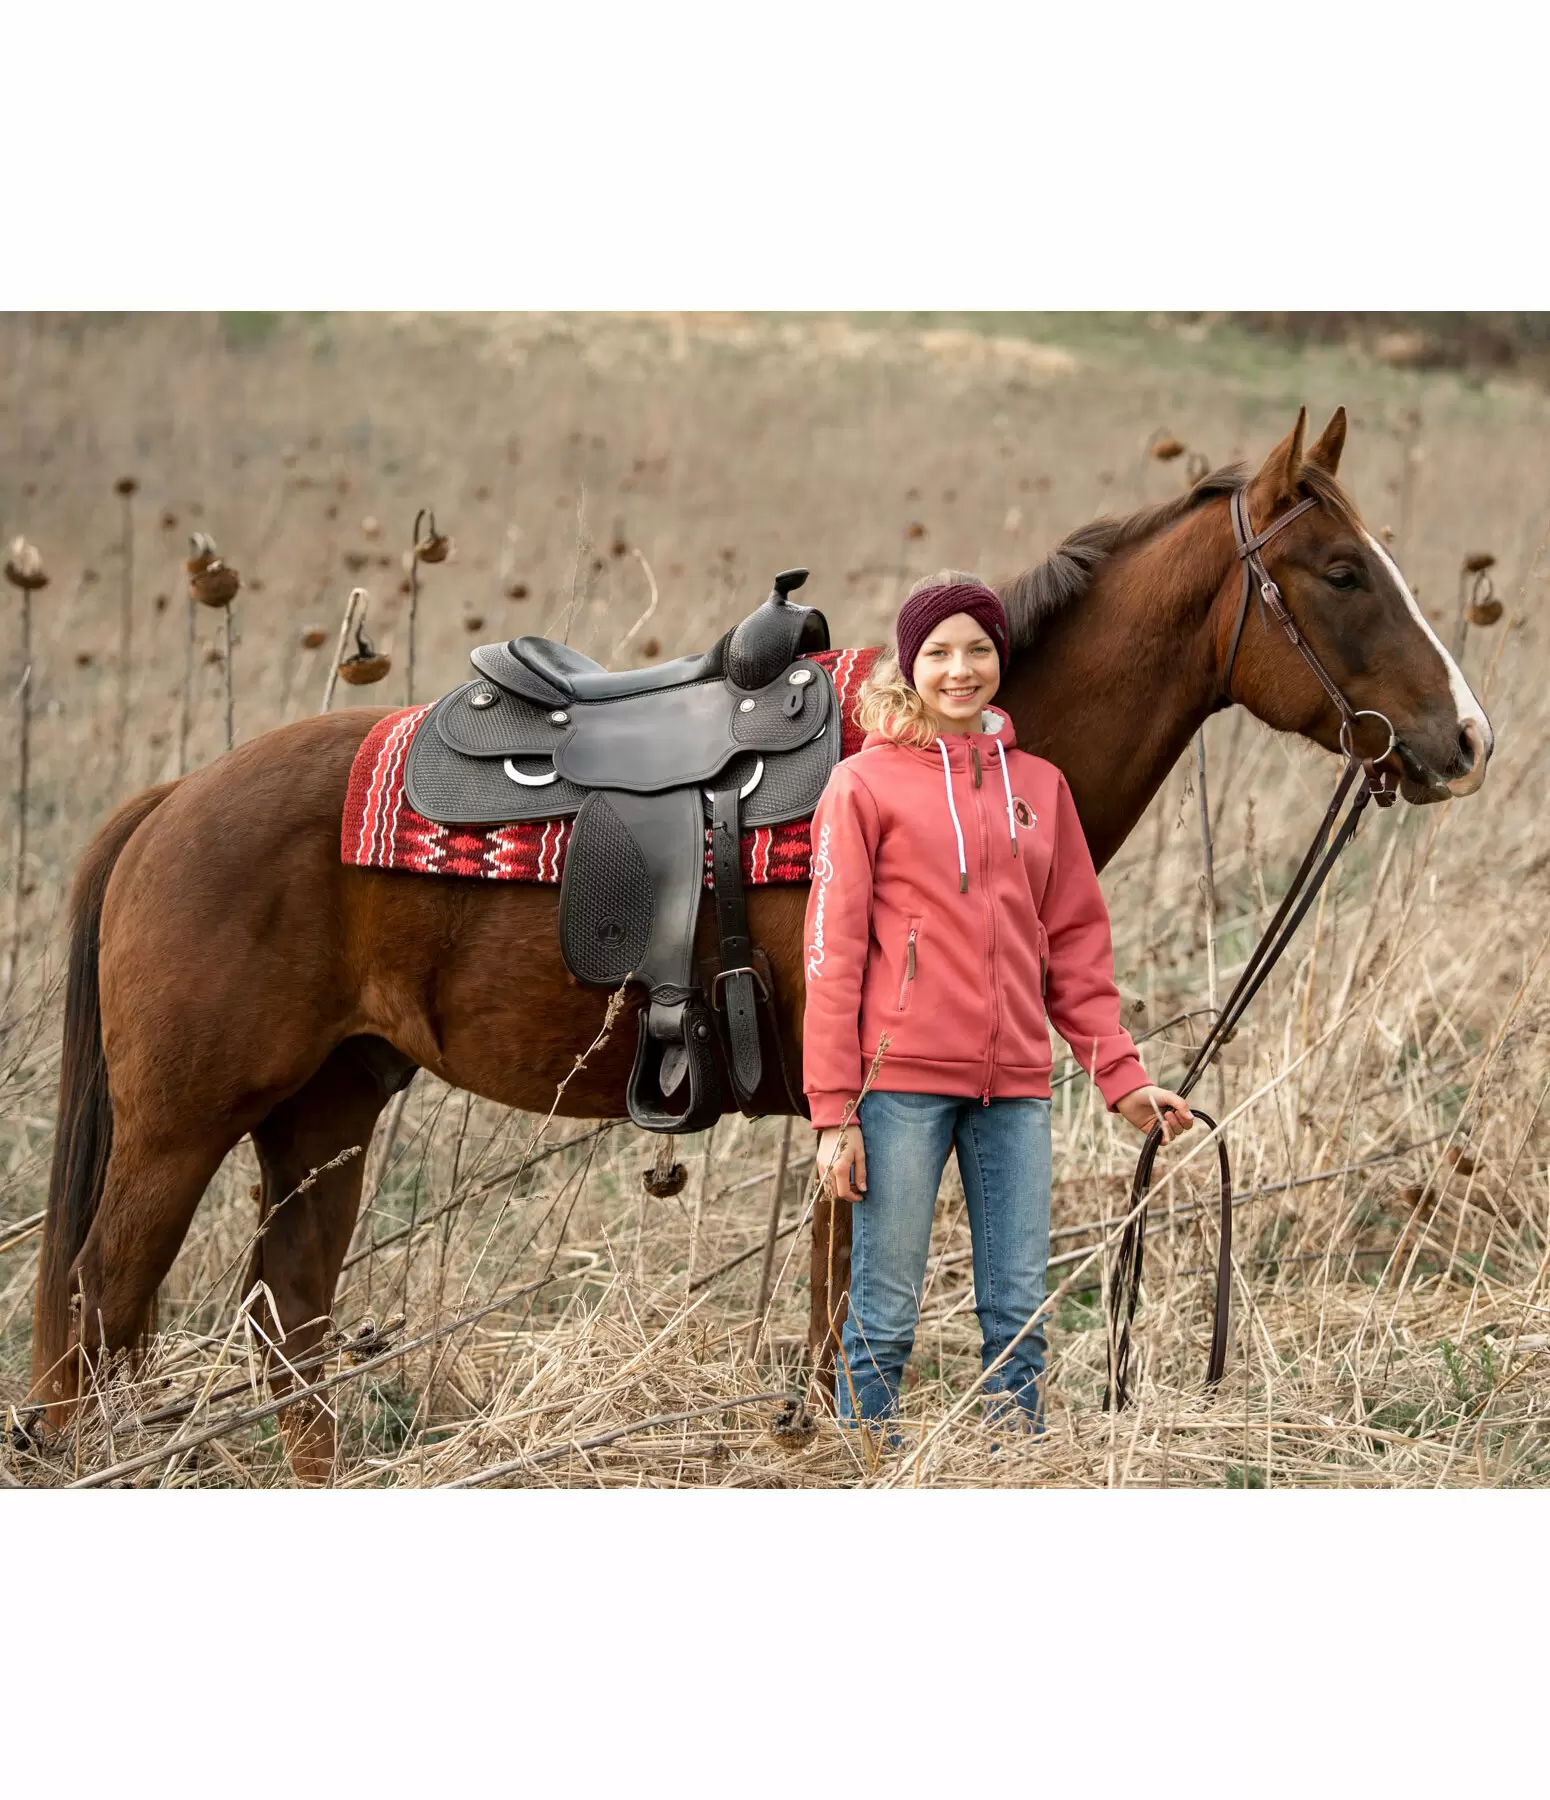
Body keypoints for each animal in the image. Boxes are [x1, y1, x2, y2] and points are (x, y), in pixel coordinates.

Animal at [30, 408, 1490, 1476]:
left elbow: (833, 1304)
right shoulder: (872, 1103)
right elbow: (848, 1311)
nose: (1464, 739)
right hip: (180, 1127)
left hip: (325, 1110)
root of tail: (174, 802)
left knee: (290, 1313)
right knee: (103, 1313)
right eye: (1342, 573)